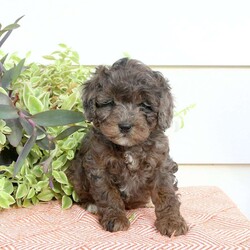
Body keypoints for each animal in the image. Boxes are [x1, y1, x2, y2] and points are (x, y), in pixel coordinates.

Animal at [67, 58, 188, 236]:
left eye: (145, 105)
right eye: (109, 102)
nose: (125, 126)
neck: (130, 147)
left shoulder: (160, 164)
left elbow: (166, 193)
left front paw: (172, 221)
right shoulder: (98, 165)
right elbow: (108, 194)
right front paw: (115, 218)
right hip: (76, 173)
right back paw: (92, 205)